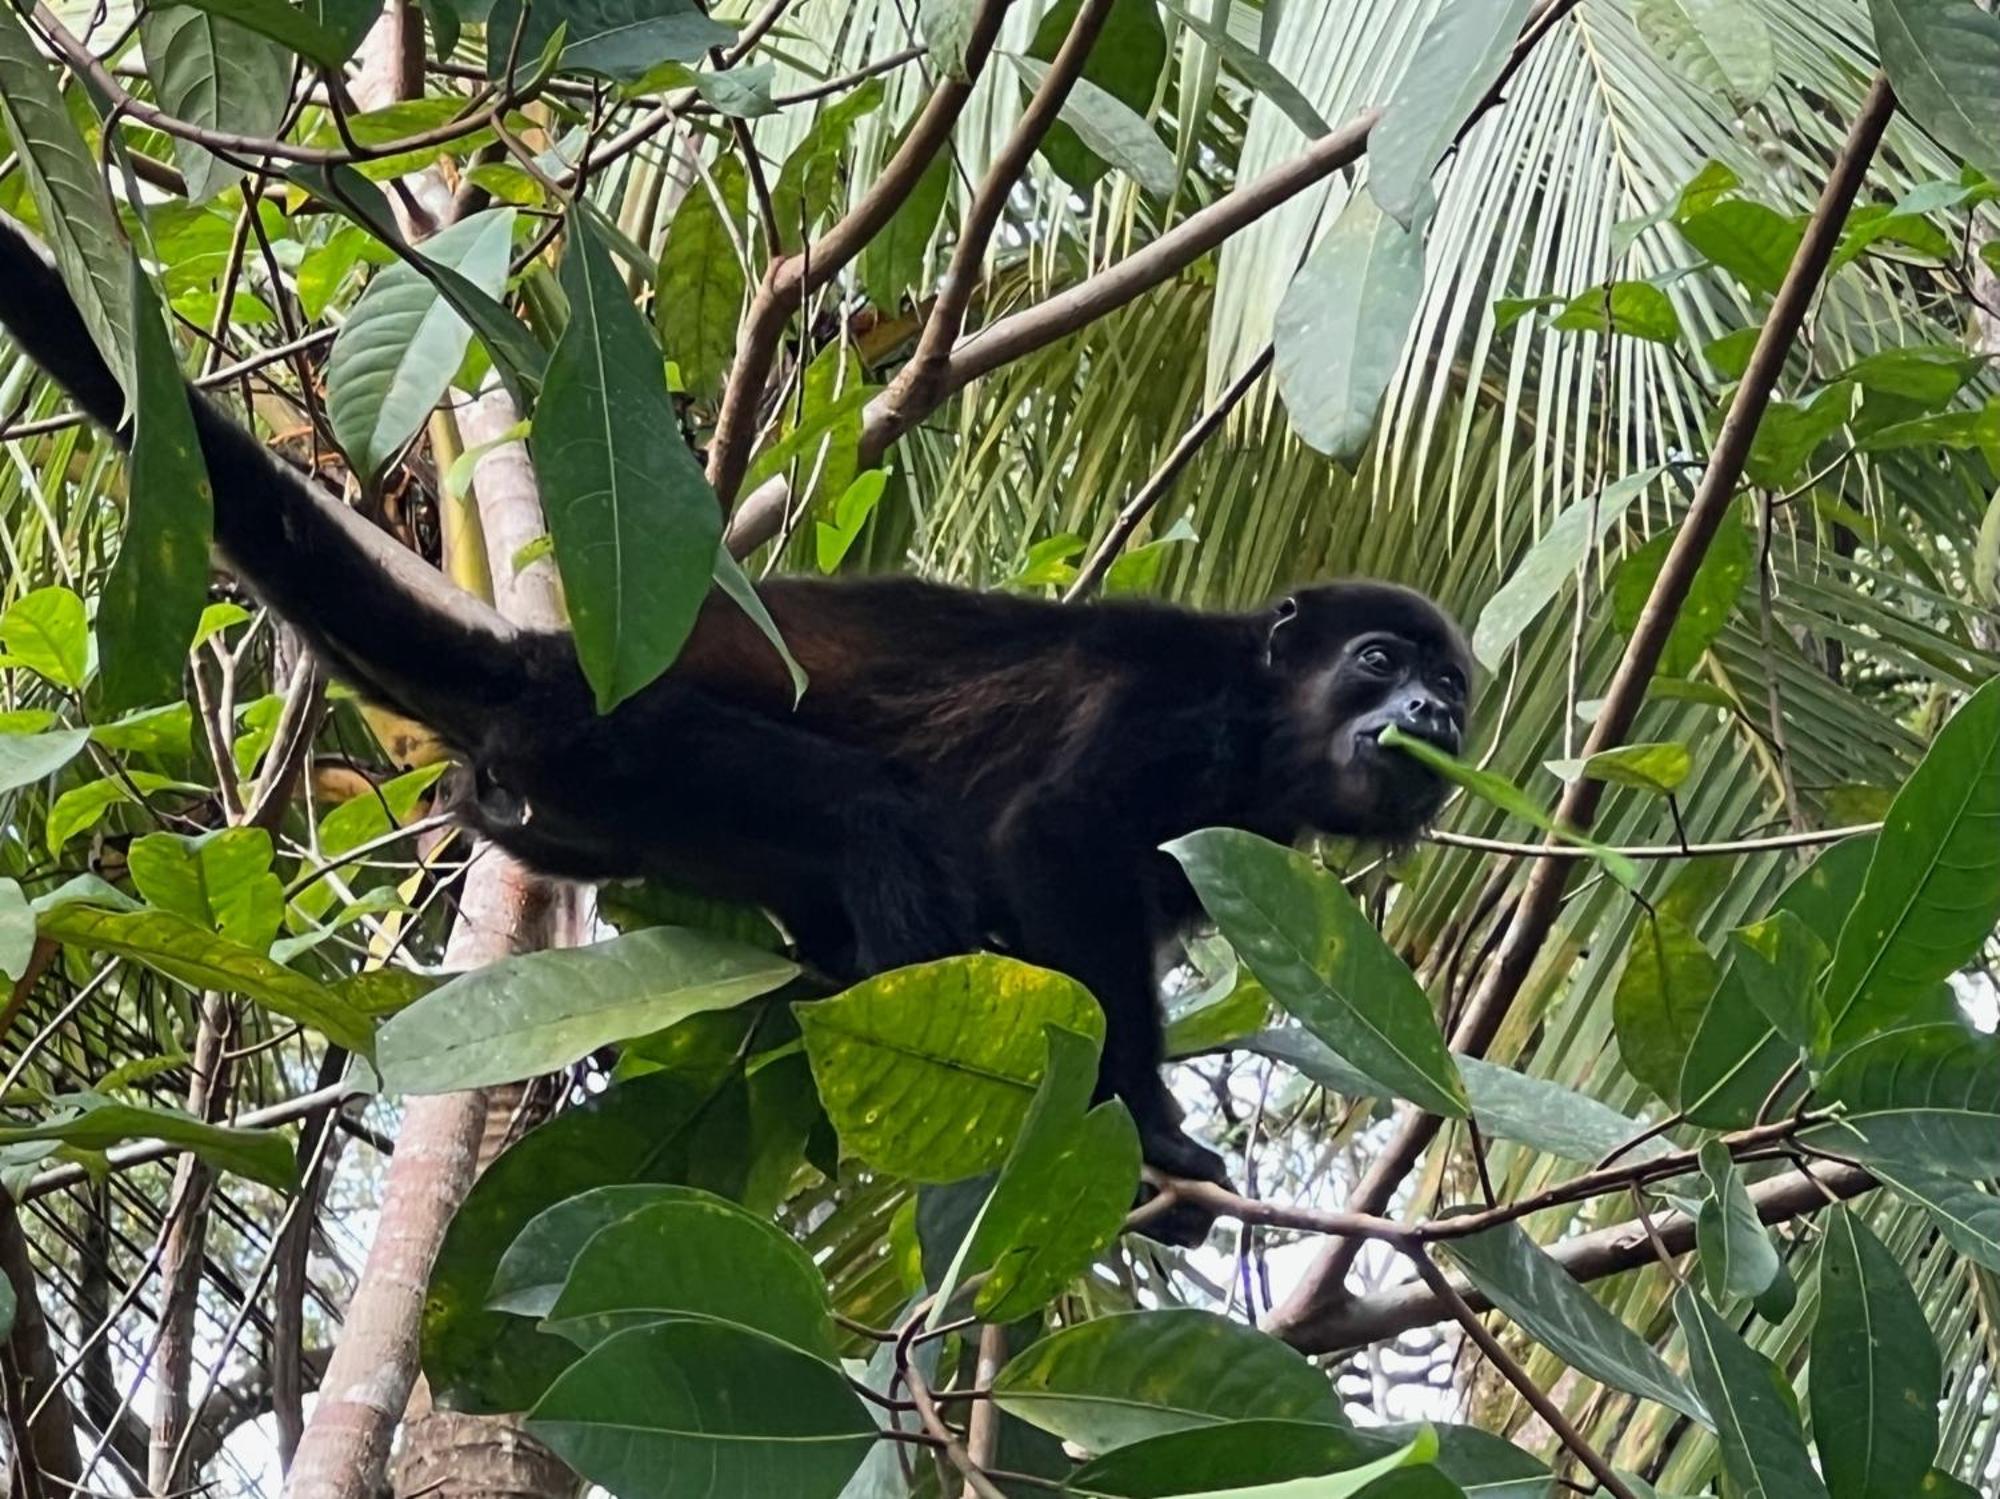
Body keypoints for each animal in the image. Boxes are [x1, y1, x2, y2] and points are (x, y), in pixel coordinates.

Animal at [0, 213, 1472, 1247]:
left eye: (1452, 698)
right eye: (1376, 661)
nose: (1426, 711)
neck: (1262, 730)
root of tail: (551, 667)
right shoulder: (1168, 713)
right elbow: (1049, 835)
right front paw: (1148, 1130)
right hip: (645, 741)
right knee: (879, 814)